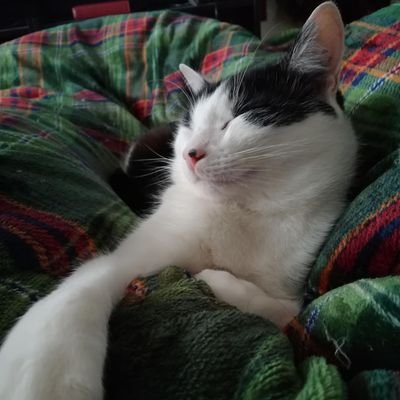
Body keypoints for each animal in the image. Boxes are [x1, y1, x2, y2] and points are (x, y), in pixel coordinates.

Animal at [0, 2, 357, 399]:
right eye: (190, 125)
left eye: (240, 116)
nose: (190, 153)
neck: (244, 210)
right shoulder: (138, 251)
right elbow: (85, 288)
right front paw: (49, 375)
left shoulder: (293, 285)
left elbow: (286, 314)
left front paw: (213, 279)